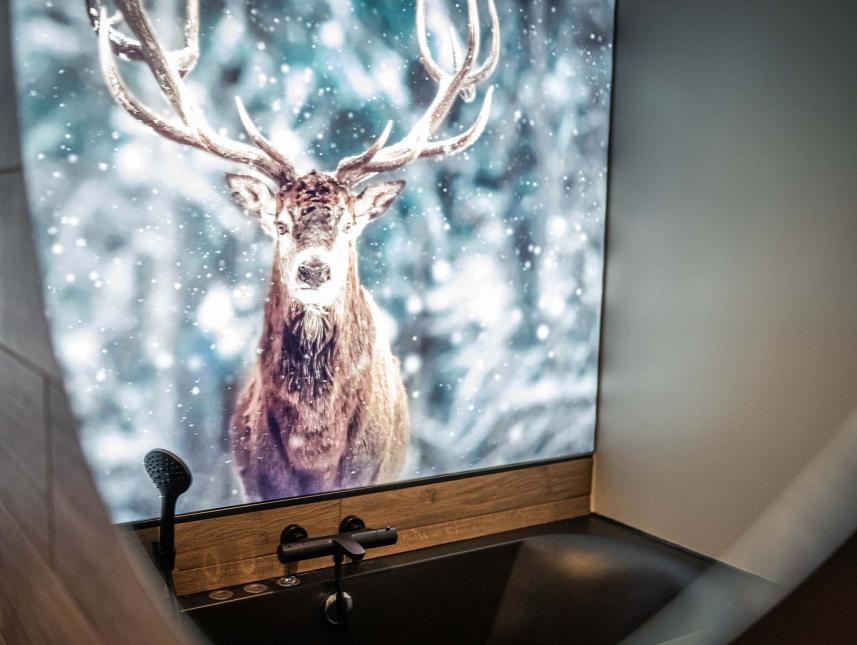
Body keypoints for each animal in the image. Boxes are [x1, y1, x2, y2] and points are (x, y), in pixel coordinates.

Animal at [88, 0, 500, 500]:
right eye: (280, 225)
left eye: (348, 225)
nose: (314, 271)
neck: (316, 450)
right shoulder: (256, 482)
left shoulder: (373, 468)